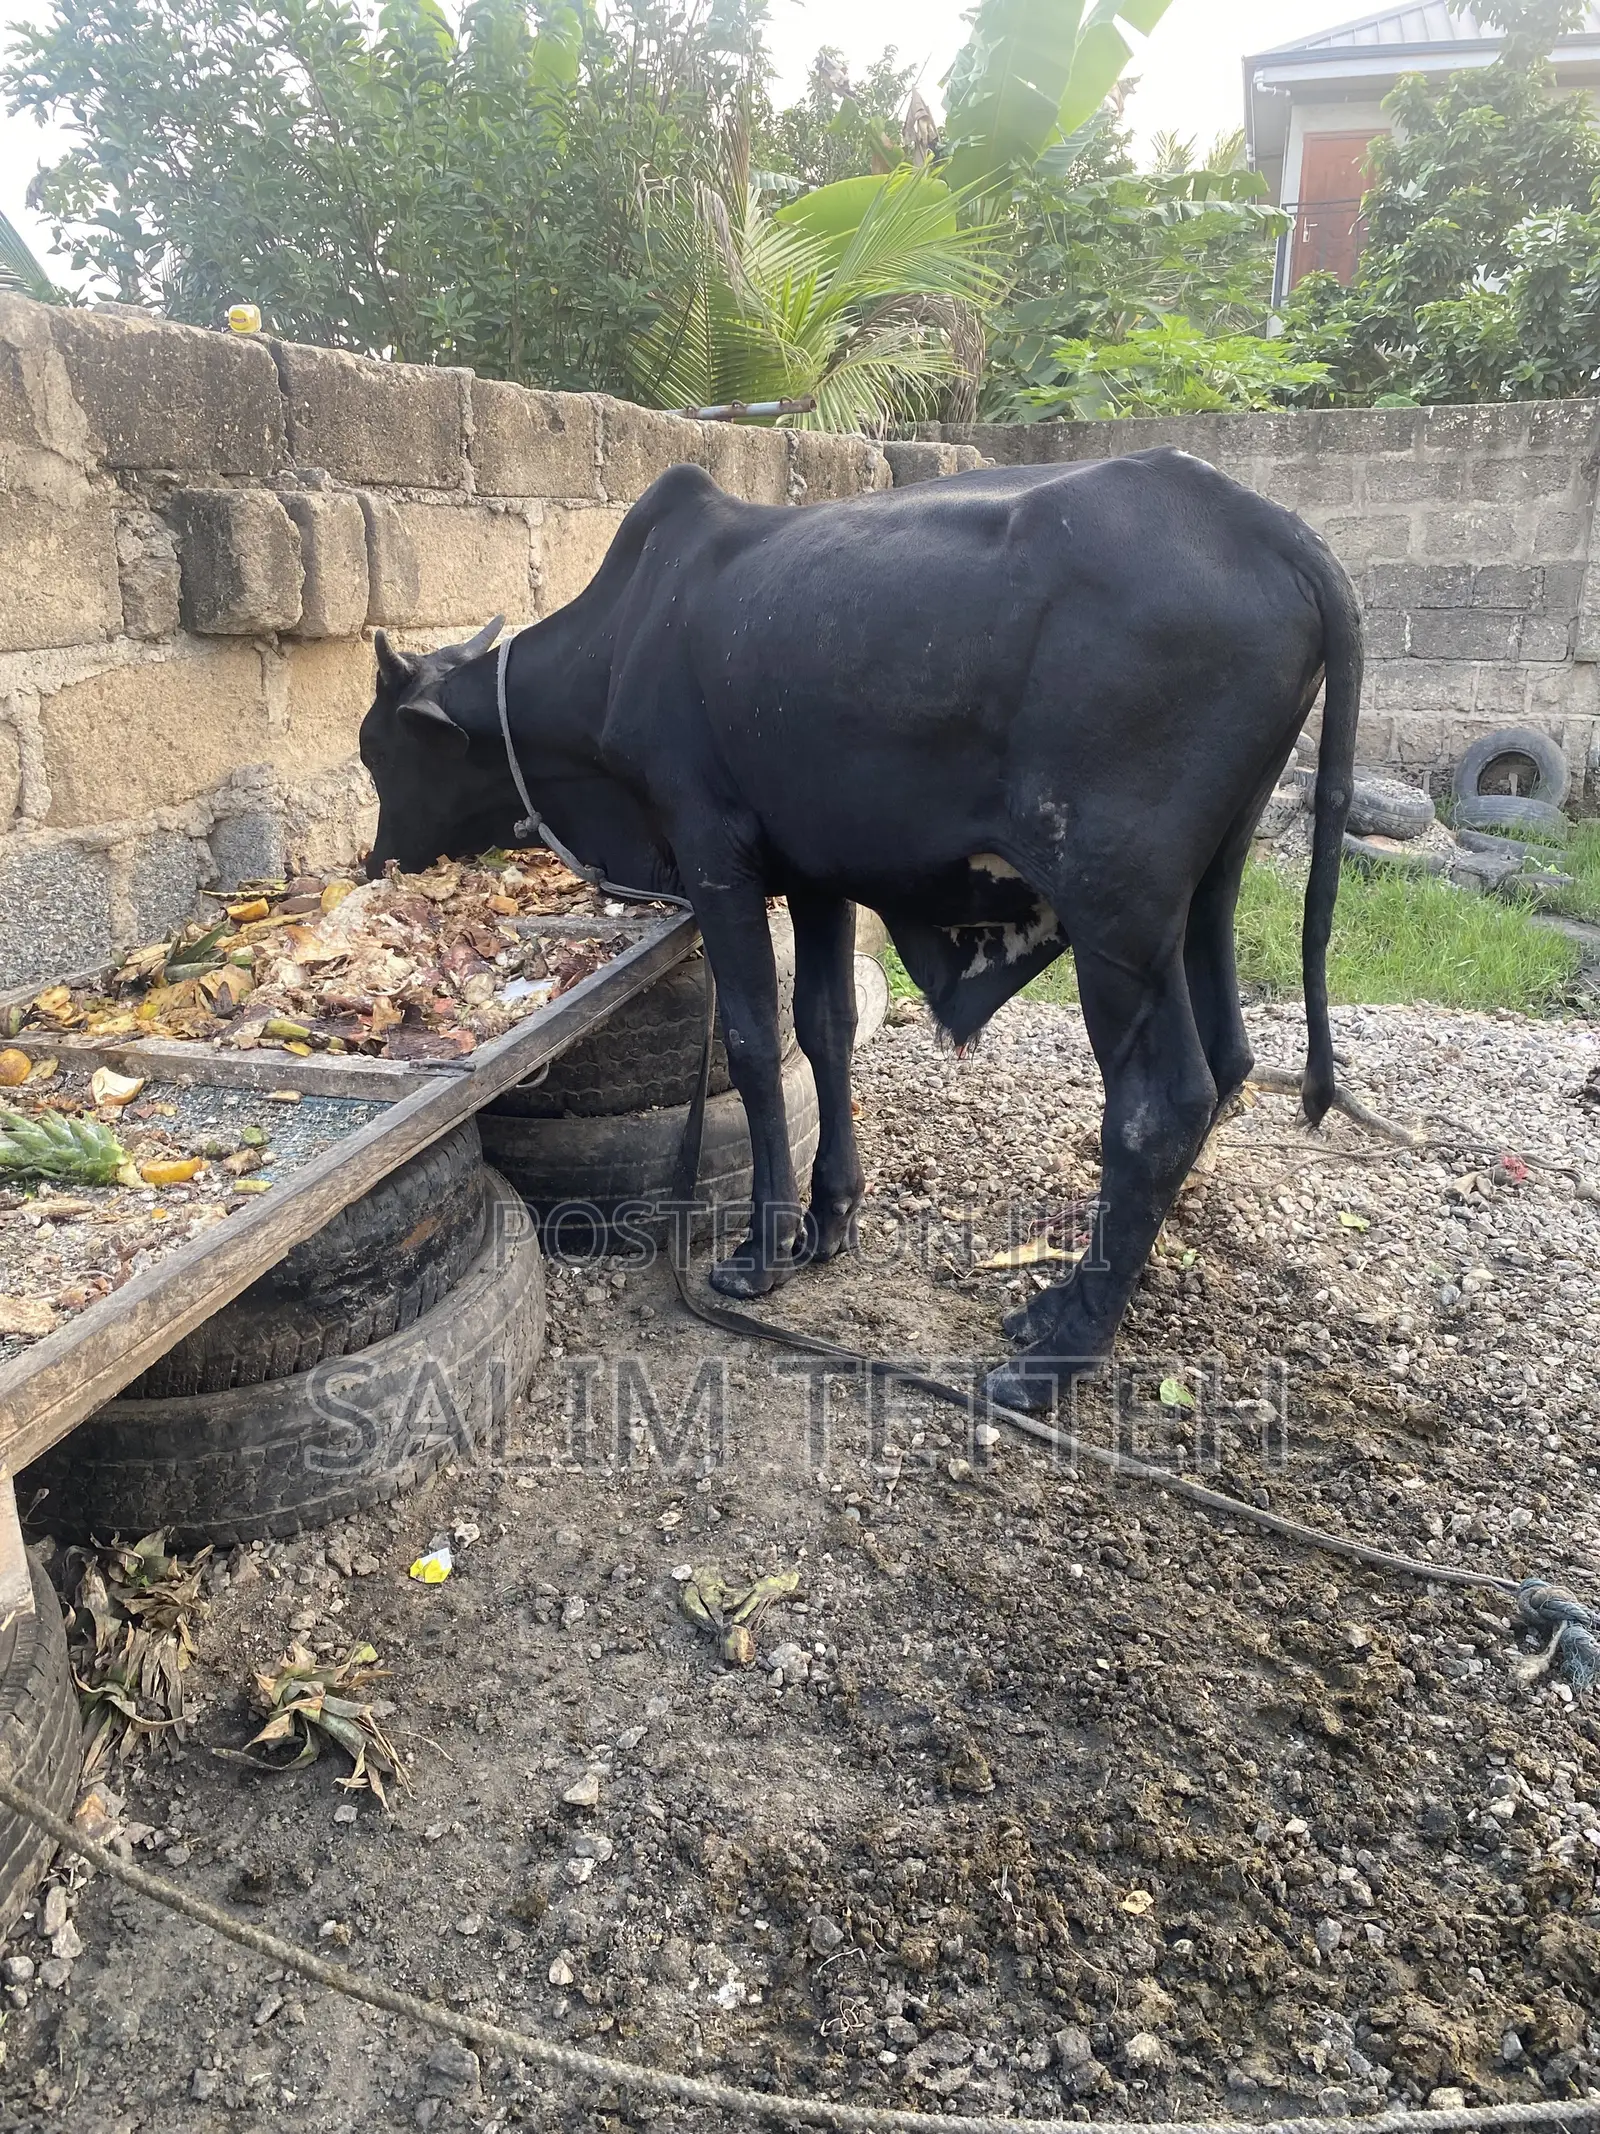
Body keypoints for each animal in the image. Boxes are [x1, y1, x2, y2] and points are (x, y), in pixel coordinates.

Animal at [359, 451, 1361, 1412]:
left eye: (378, 751)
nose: (376, 864)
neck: (620, 644)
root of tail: (1279, 532)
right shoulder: (815, 875)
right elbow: (826, 1029)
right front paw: (830, 1218)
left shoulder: (715, 854)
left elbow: (755, 1044)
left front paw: (759, 1254)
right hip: (1206, 888)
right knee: (1228, 1062)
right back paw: (1070, 1294)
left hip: (1116, 903)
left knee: (1162, 1104)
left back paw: (1060, 1354)